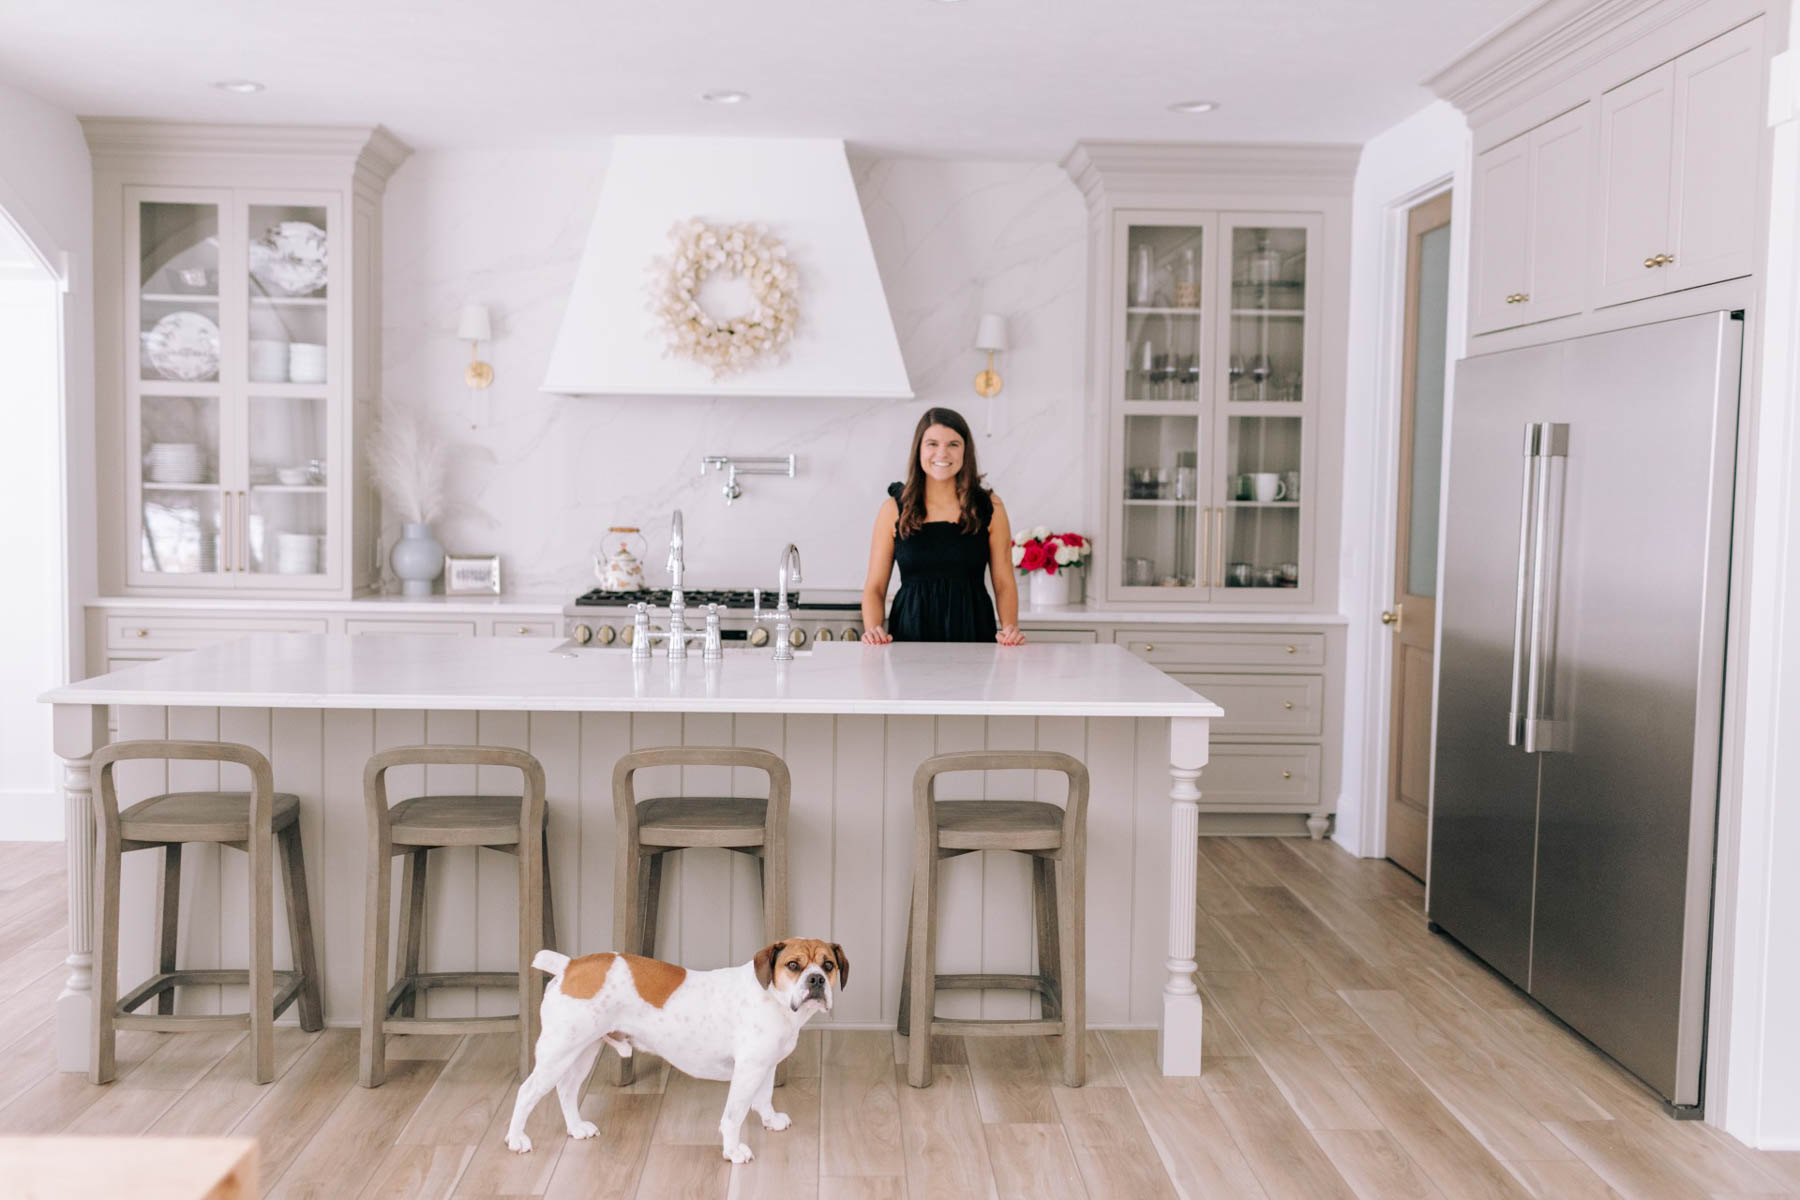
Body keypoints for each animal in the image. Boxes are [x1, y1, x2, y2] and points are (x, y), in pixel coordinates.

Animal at [504, 935, 846, 1165]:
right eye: (793, 965)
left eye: (828, 965)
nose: (816, 979)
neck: (772, 997)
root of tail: (569, 965)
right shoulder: (748, 1070)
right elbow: (733, 1115)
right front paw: (733, 1150)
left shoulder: (764, 1066)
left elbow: (763, 1098)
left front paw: (770, 1120)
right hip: (559, 1052)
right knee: (527, 1091)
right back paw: (517, 1138)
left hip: (582, 1052)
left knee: (566, 1089)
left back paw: (576, 1128)